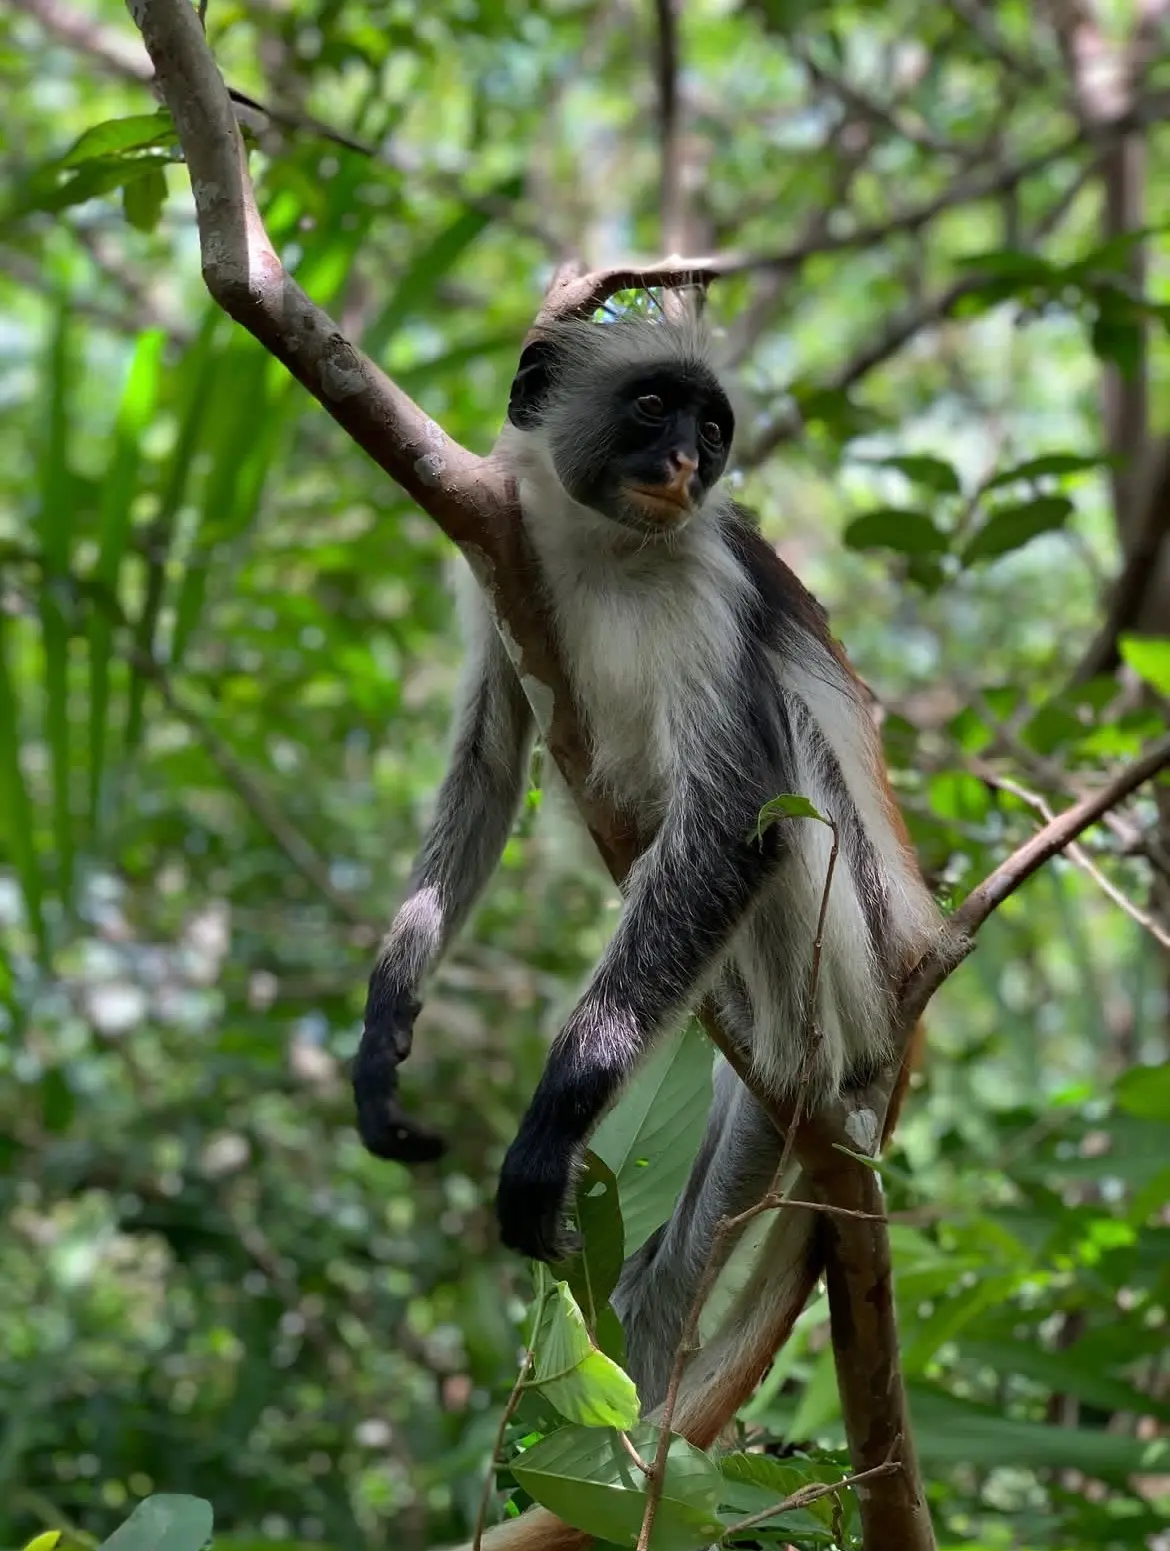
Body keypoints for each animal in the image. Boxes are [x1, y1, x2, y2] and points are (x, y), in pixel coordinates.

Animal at [352, 313, 939, 1426]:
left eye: (712, 430)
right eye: (654, 408)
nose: (684, 466)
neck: (610, 547)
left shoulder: (707, 579)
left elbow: (737, 822)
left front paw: (556, 1115)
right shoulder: (503, 553)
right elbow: (489, 760)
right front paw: (384, 1021)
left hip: (847, 958)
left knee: (778, 773)